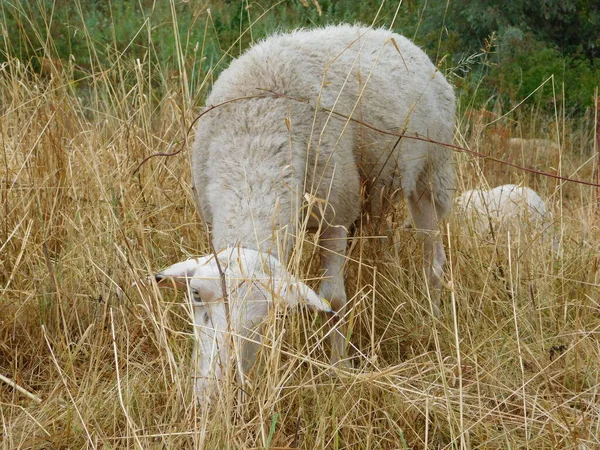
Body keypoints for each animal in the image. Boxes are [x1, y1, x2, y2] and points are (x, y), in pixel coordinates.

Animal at [157, 22, 458, 400]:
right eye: (196, 295)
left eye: (270, 316)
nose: (215, 394)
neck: (257, 135)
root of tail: (388, 34)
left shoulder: (336, 216)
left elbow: (334, 299)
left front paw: (339, 369)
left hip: (431, 175)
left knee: (433, 260)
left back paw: (434, 317)